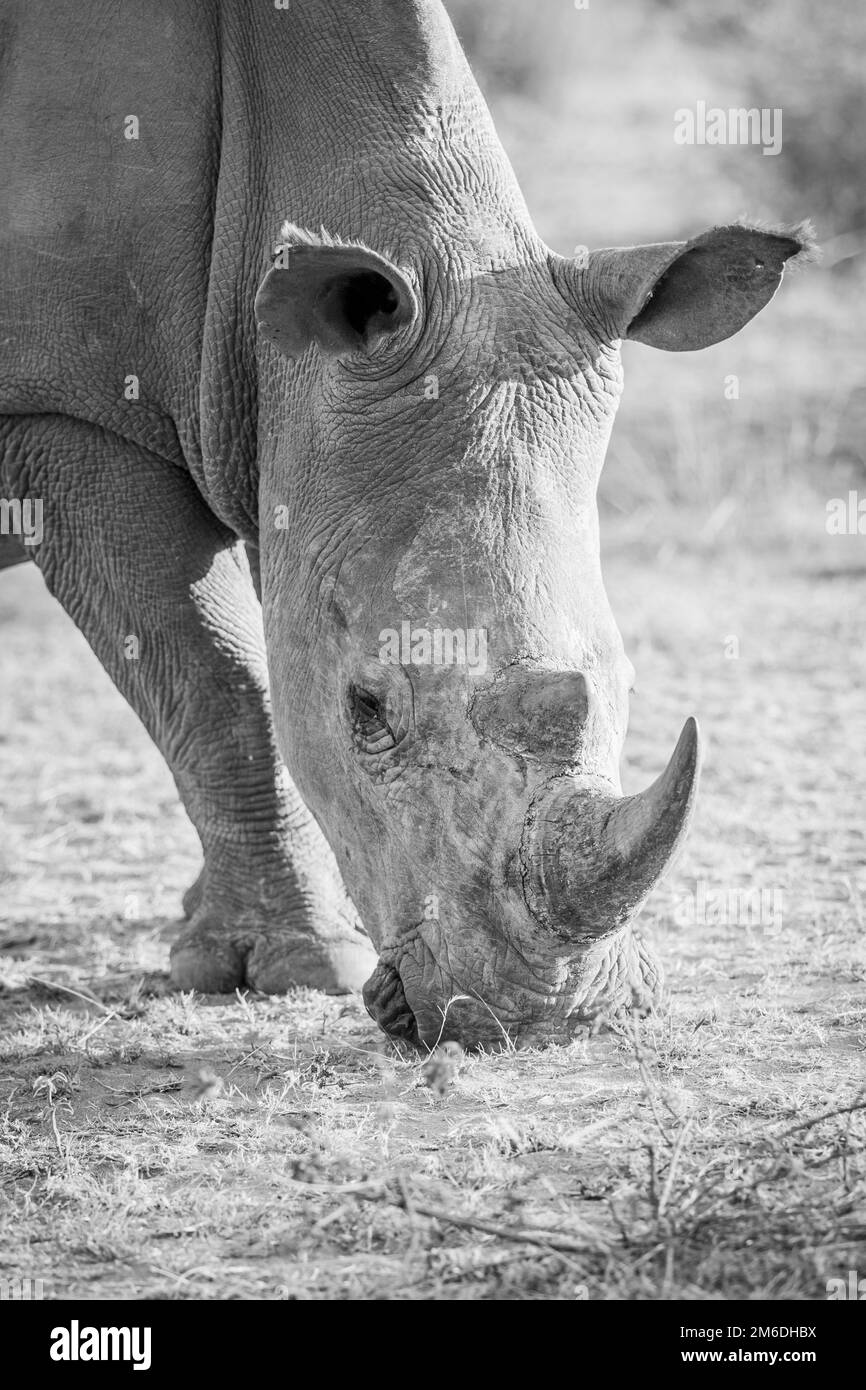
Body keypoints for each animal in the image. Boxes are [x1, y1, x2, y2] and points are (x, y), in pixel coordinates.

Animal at [0, 0, 809, 1047]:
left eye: (628, 680)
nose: (540, 1018)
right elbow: (214, 675)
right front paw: (301, 966)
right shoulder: (62, 412)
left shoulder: (276, 424)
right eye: (368, 710)